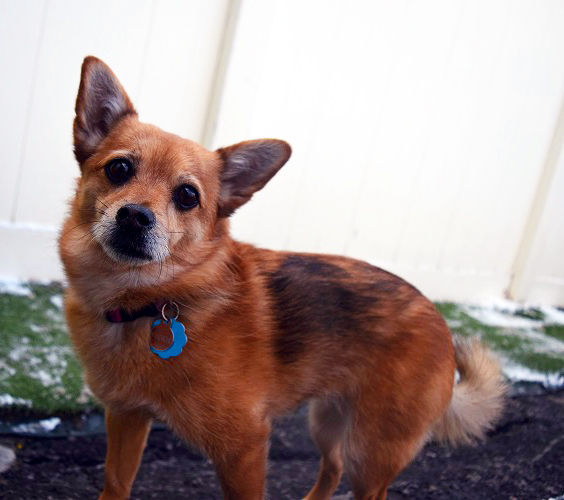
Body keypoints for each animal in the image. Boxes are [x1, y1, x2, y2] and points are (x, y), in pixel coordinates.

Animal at [59, 56, 506, 500]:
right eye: (119, 168)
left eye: (187, 196)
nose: (134, 217)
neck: (147, 302)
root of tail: (439, 321)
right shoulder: (126, 417)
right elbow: (116, 483)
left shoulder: (244, 448)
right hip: (327, 421)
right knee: (331, 468)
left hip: (371, 451)